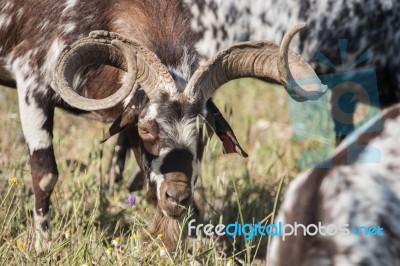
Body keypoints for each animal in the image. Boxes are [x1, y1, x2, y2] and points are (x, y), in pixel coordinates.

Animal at [0, 0, 324, 254]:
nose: (177, 198)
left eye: (203, 134)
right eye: (146, 128)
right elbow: (45, 175)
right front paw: (43, 245)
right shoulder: (31, 81)